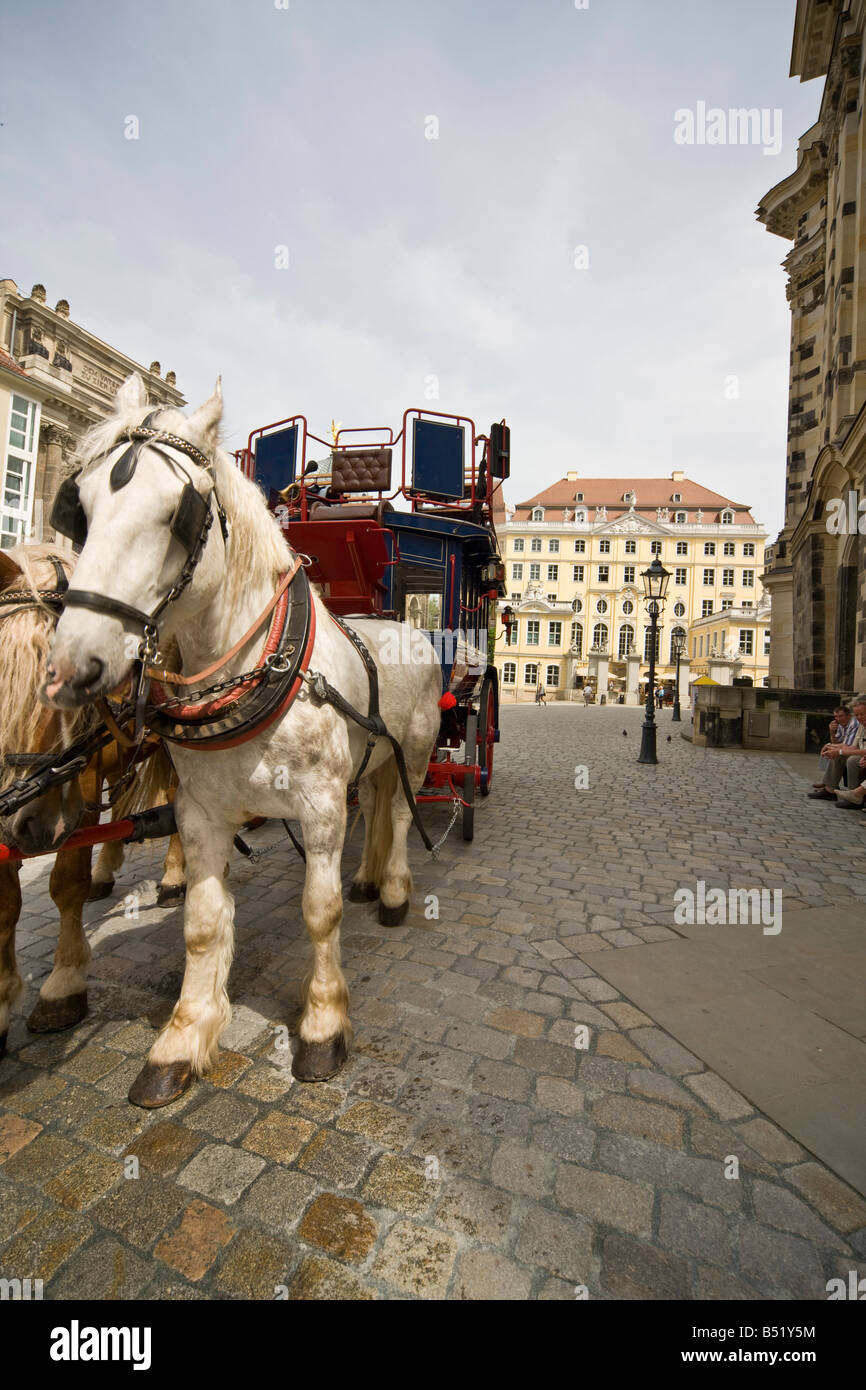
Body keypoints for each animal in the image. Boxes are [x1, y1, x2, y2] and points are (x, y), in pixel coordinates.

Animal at [0, 542, 183, 1050]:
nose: (29, 826)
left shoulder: (76, 786)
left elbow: (66, 883)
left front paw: (63, 985)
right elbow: (6, 903)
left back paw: (174, 877)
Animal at [44, 372, 444, 1106]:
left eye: (180, 513)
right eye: (78, 507)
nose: (70, 668)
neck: (255, 669)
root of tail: (405, 624)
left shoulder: (320, 808)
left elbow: (320, 910)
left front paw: (322, 1026)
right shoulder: (200, 813)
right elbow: (202, 925)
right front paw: (182, 1039)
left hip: (419, 750)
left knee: (400, 816)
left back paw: (395, 890)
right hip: (372, 760)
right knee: (375, 807)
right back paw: (370, 878)